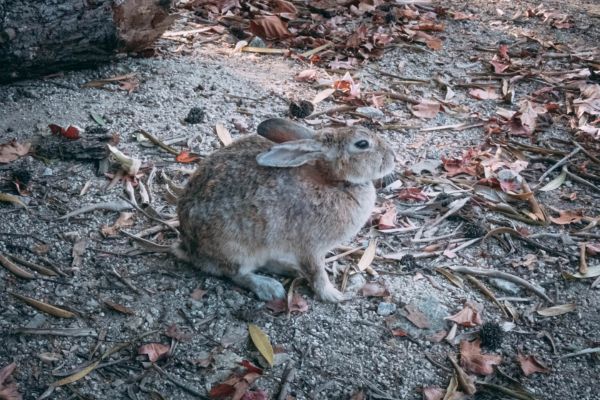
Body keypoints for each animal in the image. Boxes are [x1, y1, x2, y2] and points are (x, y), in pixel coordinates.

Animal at [176, 119, 396, 304]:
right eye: (362, 144)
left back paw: (290, 270)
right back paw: (268, 287)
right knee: (236, 273)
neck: (333, 180)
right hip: (235, 248)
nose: (392, 157)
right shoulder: (311, 248)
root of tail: (190, 248)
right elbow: (317, 273)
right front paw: (333, 295)